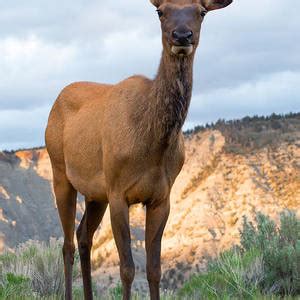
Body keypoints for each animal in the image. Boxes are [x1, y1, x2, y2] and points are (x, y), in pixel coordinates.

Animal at [45, 0, 232, 298]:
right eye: (160, 11)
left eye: (201, 12)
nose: (182, 35)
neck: (154, 144)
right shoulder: (118, 192)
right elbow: (127, 269)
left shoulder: (160, 197)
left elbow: (154, 270)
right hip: (61, 172)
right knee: (67, 245)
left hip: (96, 193)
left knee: (83, 235)